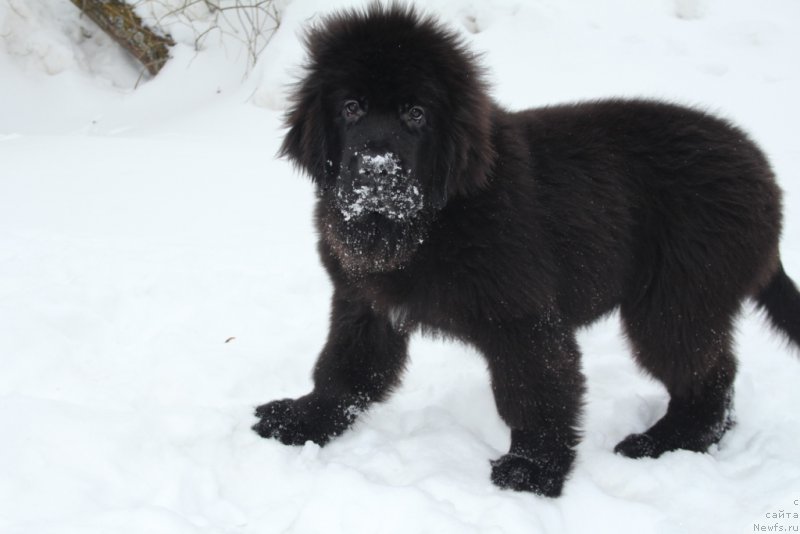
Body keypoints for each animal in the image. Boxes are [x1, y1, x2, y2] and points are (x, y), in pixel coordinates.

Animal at [252, 3, 800, 498]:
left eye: (416, 114)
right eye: (351, 108)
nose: (377, 170)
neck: (427, 223)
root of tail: (764, 175)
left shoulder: (523, 318)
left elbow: (534, 393)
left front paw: (532, 470)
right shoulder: (364, 302)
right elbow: (343, 368)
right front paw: (303, 418)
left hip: (675, 302)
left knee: (708, 376)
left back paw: (665, 442)